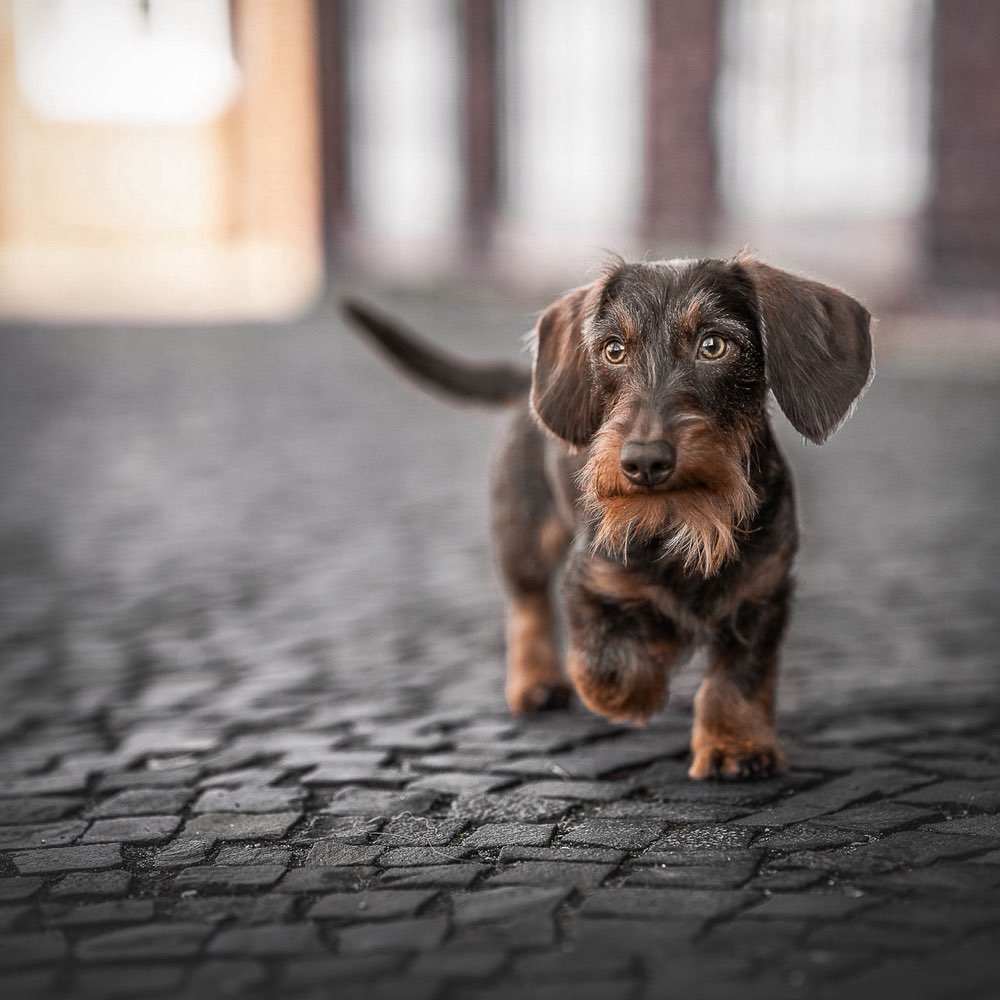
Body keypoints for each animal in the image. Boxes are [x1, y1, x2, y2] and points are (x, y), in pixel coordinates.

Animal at [340, 252, 872, 780]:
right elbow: (609, 667)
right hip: (523, 531)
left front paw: (734, 745)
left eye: (714, 345)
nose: (644, 461)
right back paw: (536, 682)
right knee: (527, 603)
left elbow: (741, 676)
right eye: (614, 350)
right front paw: (647, 675)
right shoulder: (589, 583)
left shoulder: (763, 595)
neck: (681, 522)